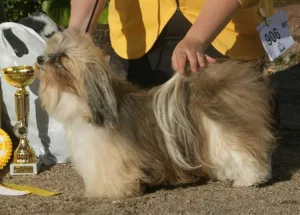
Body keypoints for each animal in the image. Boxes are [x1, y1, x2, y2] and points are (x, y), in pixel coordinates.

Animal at [35, 29, 274, 198]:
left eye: (61, 58)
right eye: (48, 51)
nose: (39, 59)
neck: (85, 102)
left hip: (221, 132)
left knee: (245, 153)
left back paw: (248, 179)